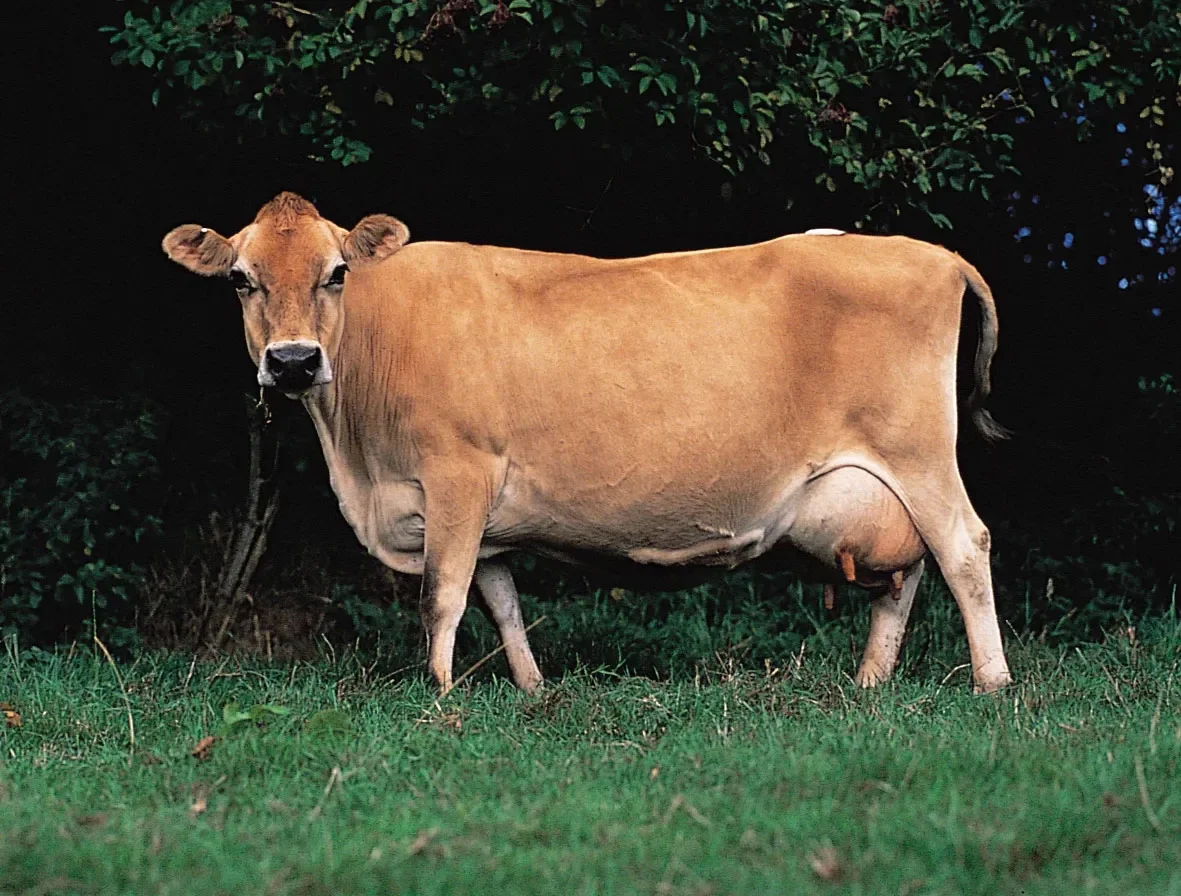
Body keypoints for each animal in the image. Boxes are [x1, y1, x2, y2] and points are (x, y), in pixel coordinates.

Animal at [163, 192, 1013, 695]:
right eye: (240, 278)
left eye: (337, 271)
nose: (293, 362)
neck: (360, 460)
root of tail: (929, 252)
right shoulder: (484, 511)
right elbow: (500, 599)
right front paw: (532, 689)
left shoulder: (457, 472)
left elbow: (441, 593)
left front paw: (437, 693)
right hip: (880, 484)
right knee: (904, 574)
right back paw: (870, 682)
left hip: (918, 453)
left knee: (963, 547)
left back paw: (991, 682)